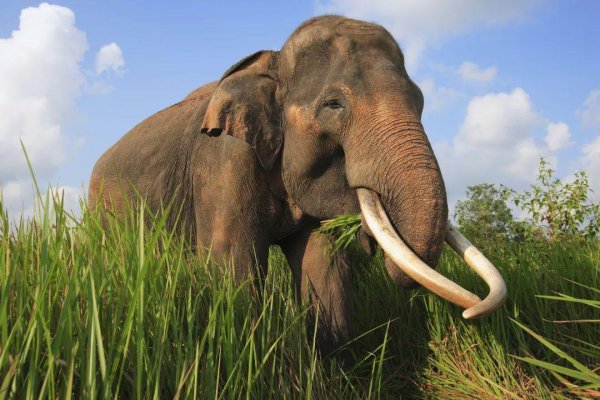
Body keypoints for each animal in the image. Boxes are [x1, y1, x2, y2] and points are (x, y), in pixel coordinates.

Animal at [91, 14, 506, 354]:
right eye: (334, 104)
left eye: (420, 100)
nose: (469, 316)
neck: (271, 63)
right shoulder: (223, 159)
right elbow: (233, 261)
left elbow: (323, 264)